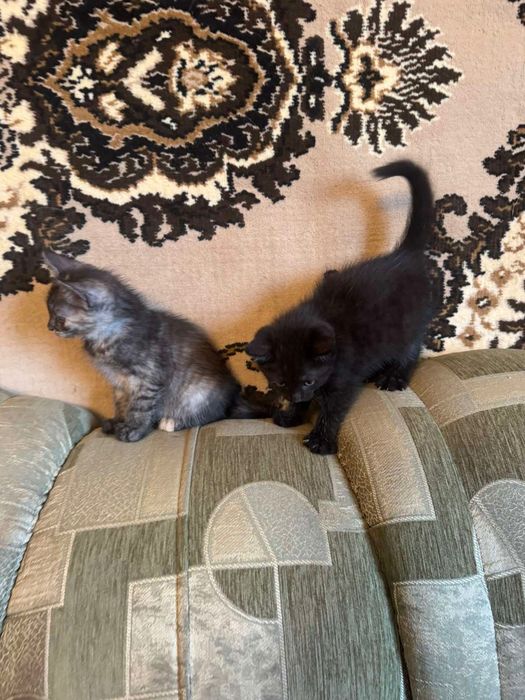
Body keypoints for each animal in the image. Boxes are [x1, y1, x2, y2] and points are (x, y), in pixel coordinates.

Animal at [44, 251, 269, 442]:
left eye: (59, 318)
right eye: (49, 312)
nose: (49, 327)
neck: (106, 336)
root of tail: (232, 398)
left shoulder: (147, 377)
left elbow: (139, 406)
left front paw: (133, 429)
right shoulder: (118, 381)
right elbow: (121, 403)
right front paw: (117, 422)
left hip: (198, 391)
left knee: (214, 414)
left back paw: (173, 421)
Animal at [246, 160, 434, 455]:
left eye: (309, 380)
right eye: (280, 382)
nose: (296, 396)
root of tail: (404, 256)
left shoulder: (343, 378)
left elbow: (333, 409)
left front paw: (321, 440)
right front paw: (292, 414)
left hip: (407, 324)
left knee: (412, 348)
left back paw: (395, 377)